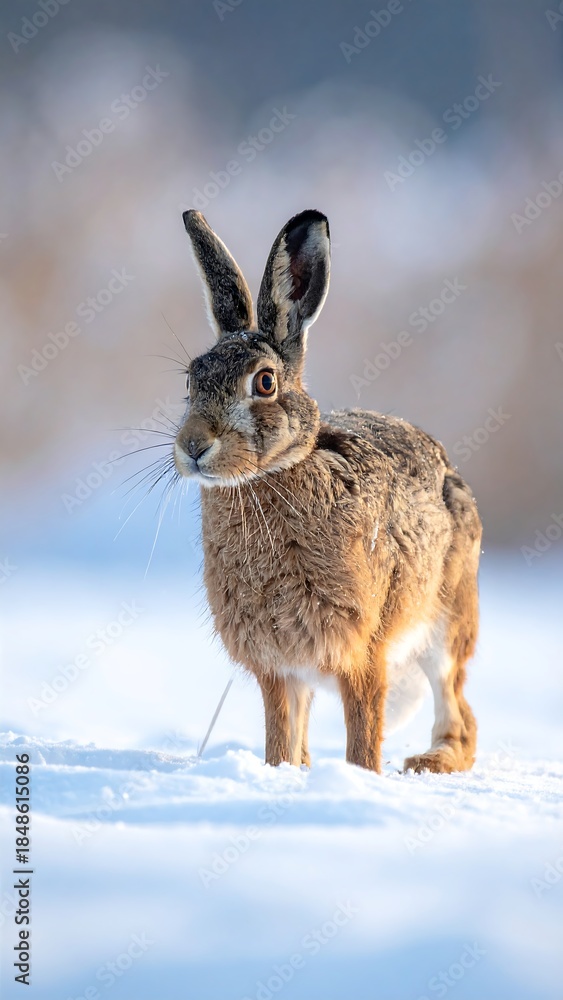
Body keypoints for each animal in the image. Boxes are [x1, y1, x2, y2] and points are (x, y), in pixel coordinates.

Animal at [174, 208, 482, 774]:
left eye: (265, 383)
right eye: (190, 381)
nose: (193, 447)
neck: (272, 476)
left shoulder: (362, 651)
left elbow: (363, 738)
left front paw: (360, 781)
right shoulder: (279, 668)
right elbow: (281, 737)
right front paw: (281, 776)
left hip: (447, 621)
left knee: (459, 710)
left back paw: (430, 762)